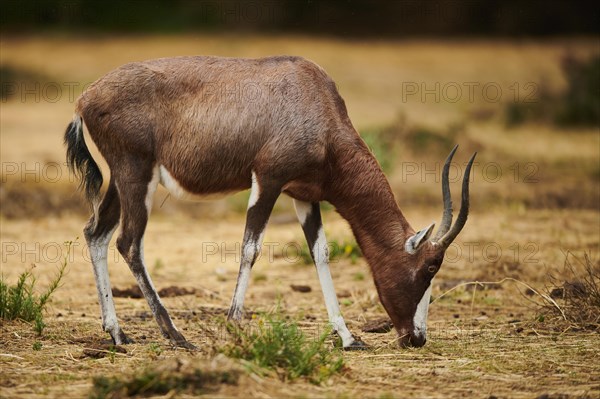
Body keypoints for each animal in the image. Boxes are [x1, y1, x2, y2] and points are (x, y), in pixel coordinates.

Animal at [65, 55, 476, 350]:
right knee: (128, 242)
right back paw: (177, 336)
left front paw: (348, 338)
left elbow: (320, 253)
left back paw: (118, 334)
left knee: (96, 234)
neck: (315, 99)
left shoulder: (304, 196)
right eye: (429, 268)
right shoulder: (268, 180)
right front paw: (233, 325)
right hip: (136, 175)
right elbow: (251, 247)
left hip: (121, 182)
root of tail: (86, 98)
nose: (416, 338)